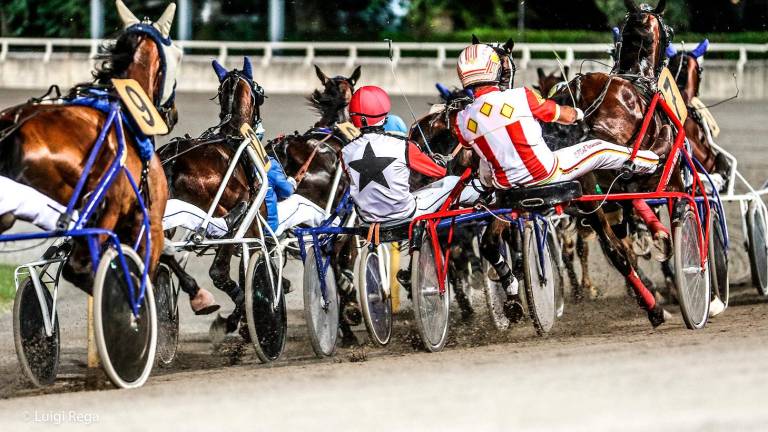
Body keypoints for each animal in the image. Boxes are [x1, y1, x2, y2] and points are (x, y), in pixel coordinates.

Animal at [154, 55, 266, 336]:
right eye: (259, 90)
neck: (234, 134)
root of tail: (174, 158)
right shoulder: (252, 219)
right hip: (221, 207)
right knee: (219, 269)